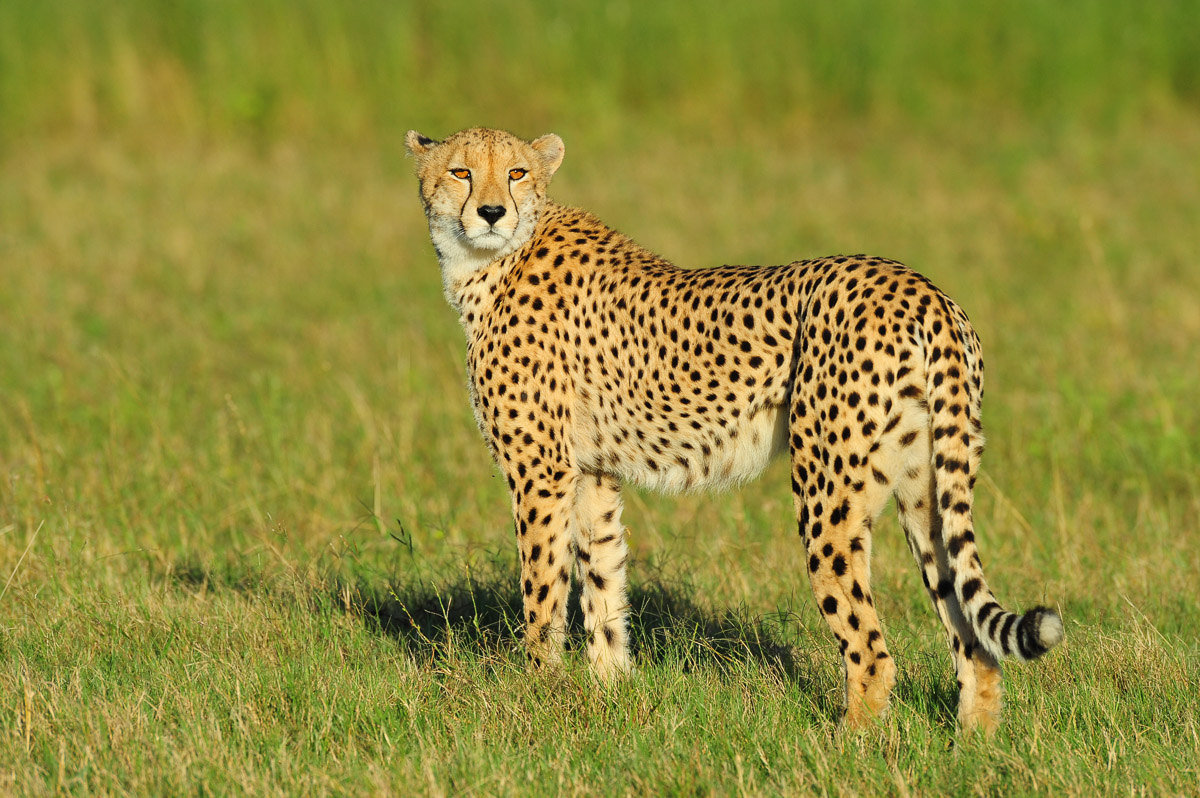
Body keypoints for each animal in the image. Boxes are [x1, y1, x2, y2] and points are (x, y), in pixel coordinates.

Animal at [404, 126, 1063, 732]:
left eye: (516, 173)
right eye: (461, 172)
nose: (492, 212)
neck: (490, 263)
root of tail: (918, 286)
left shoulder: (541, 475)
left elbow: (542, 590)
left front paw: (541, 692)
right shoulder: (592, 475)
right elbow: (604, 581)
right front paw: (611, 693)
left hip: (828, 493)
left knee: (872, 650)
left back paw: (848, 748)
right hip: (927, 488)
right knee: (973, 638)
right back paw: (972, 750)